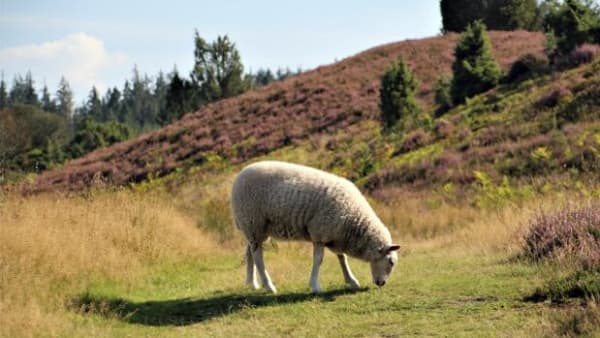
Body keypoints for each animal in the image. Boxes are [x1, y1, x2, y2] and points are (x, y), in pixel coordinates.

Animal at [232, 161, 400, 294]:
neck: (354, 219)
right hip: (253, 221)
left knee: (249, 252)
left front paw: (351, 280)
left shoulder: (334, 235)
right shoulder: (320, 233)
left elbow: (342, 257)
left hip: (255, 228)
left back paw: (252, 283)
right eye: (391, 262)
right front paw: (315, 286)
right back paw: (269, 286)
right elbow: (319, 260)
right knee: (258, 256)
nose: (381, 283)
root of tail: (239, 176)